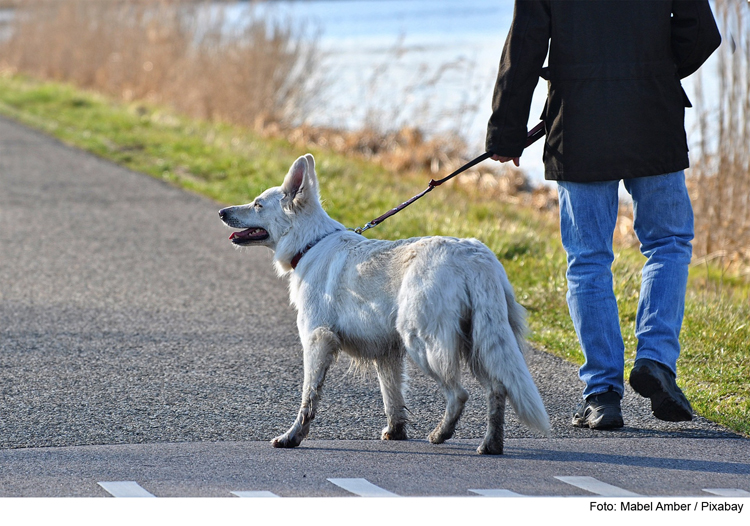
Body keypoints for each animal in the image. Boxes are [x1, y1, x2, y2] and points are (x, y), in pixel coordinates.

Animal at [220, 156, 548, 454]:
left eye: (257, 204)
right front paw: (396, 432)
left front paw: (292, 437)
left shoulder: (317, 341)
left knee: (460, 394)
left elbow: (308, 398)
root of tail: (475, 256)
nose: (222, 211)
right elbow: (393, 398)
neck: (310, 243)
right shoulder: (387, 353)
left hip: (424, 343)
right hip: (478, 343)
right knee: (497, 389)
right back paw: (491, 444)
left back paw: (441, 434)